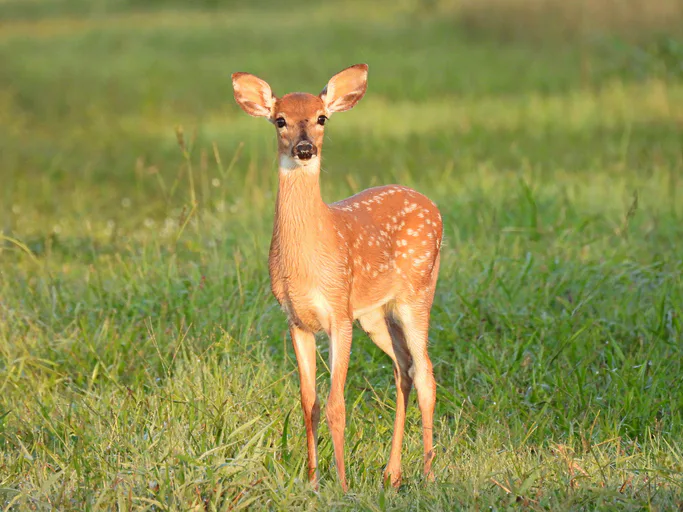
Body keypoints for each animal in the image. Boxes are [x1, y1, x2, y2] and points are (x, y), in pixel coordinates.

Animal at [231, 64, 443, 491]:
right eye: (280, 120)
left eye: (321, 118)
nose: (304, 149)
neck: (307, 262)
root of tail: (435, 207)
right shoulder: (297, 320)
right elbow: (308, 402)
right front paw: (313, 480)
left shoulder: (339, 313)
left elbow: (336, 405)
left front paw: (343, 486)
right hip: (376, 314)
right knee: (404, 369)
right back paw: (392, 473)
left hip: (417, 293)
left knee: (426, 374)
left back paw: (428, 474)